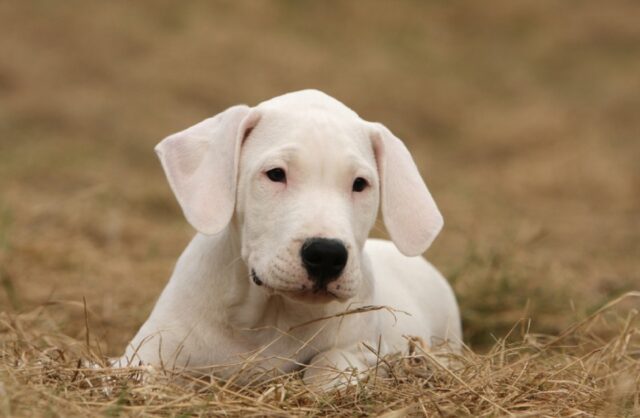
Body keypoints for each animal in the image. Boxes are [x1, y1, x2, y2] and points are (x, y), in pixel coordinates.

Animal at [120, 90, 460, 386]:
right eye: (275, 174)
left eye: (360, 184)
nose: (327, 255)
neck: (270, 316)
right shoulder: (147, 351)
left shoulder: (363, 348)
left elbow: (330, 361)